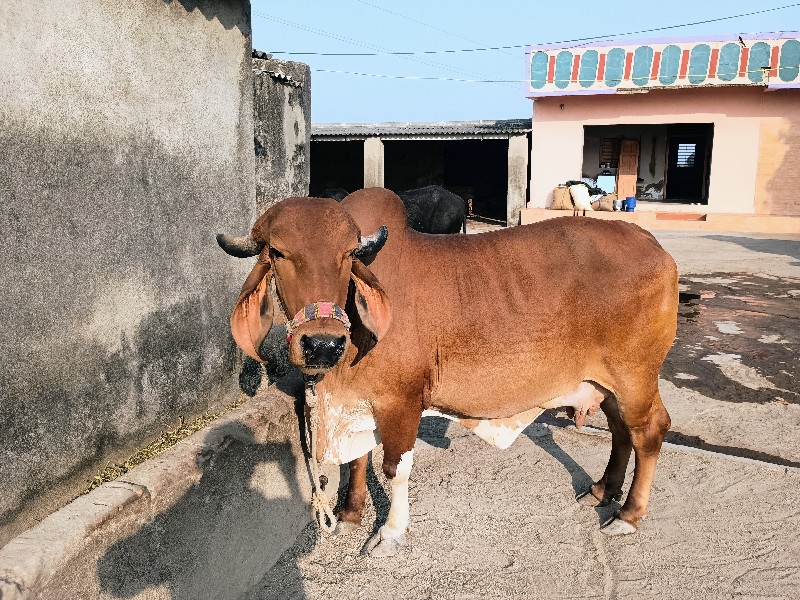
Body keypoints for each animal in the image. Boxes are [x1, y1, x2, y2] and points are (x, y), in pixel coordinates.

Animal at [216, 188, 680, 556]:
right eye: (277, 253)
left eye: (348, 255)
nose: (323, 344)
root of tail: (651, 242)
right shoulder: (361, 401)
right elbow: (359, 458)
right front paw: (349, 511)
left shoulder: (401, 402)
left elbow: (394, 468)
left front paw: (390, 533)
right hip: (608, 383)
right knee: (621, 431)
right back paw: (603, 489)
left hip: (635, 376)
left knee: (649, 431)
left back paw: (629, 513)